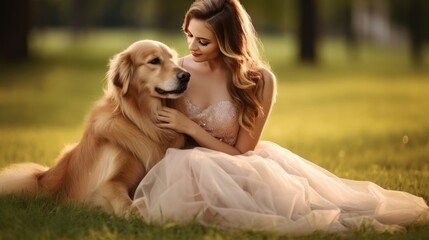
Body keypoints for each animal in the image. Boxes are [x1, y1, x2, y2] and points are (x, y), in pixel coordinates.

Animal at [0, 39, 189, 216]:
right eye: (154, 61)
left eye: (173, 59)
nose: (186, 75)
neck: (141, 121)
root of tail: (42, 177)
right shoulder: (106, 184)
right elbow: (129, 206)